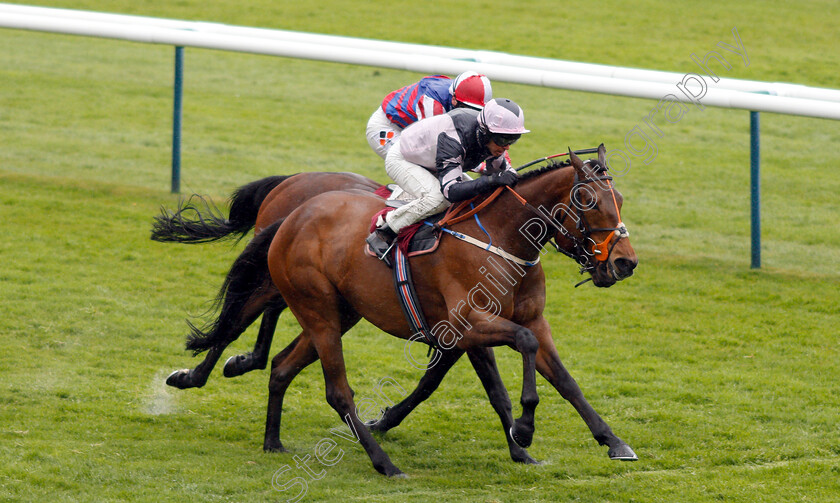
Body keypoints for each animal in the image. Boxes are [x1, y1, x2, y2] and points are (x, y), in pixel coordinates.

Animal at [243, 147, 636, 476]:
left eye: (618, 199)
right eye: (588, 201)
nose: (625, 262)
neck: (502, 238)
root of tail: (293, 217)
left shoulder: (528, 322)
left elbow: (561, 382)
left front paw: (612, 442)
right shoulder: (469, 325)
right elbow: (520, 352)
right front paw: (523, 431)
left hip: (339, 315)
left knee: (282, 366)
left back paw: (272, 441)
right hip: (319, 312)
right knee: (338, 392)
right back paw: (385, 464)